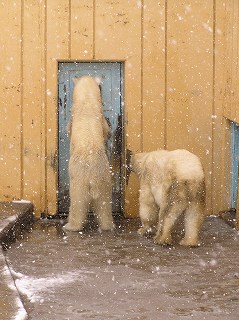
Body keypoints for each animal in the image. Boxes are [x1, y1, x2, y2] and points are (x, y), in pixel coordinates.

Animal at [64, 76, 114, 231]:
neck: (87, 100)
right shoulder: (101, 114)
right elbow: (106, 130)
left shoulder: (73, 114)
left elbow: (69, 129)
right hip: (105, 181)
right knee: (104, 206)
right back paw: (108, 225)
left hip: (79, 182)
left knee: (77, 204)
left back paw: (69, 225)